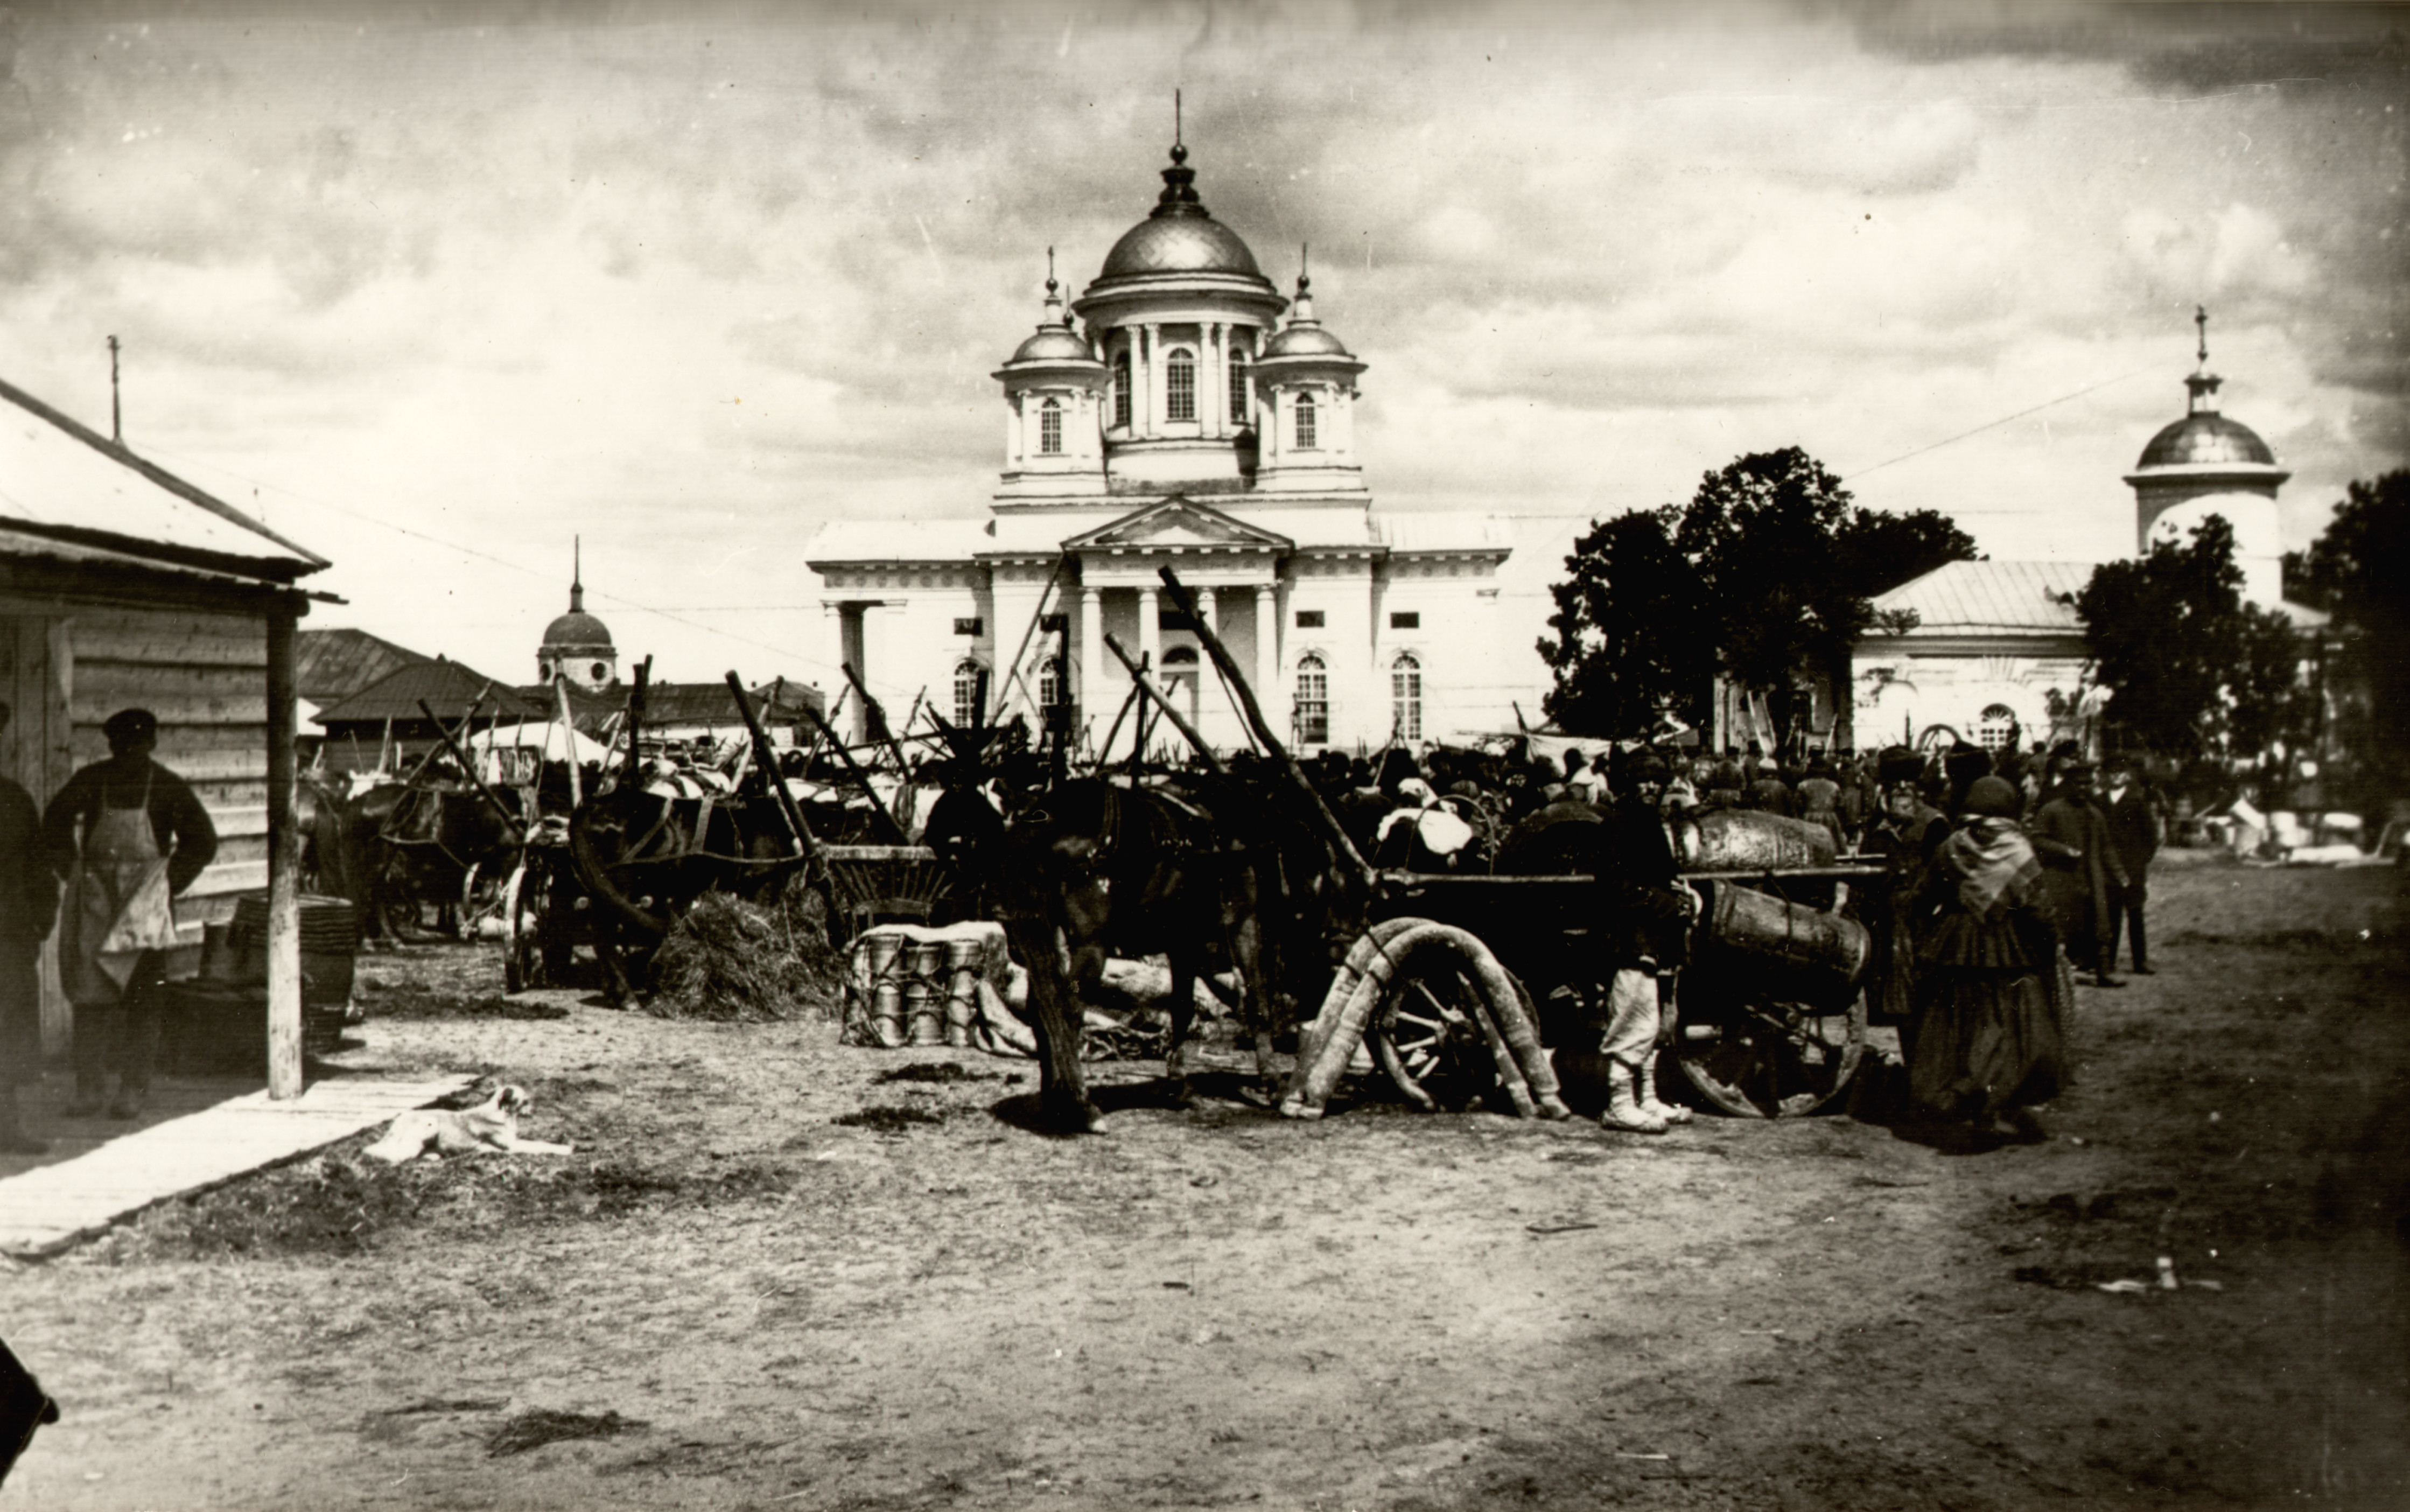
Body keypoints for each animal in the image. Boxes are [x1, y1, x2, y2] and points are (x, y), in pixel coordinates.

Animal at [356, 1080, 573, 1167]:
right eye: (526, 1101)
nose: (534, 1110)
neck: (502, 1113)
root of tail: (396, 1123)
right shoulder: (513, 1146)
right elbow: (542, 1145)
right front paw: (567, 1148)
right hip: (429, 1124)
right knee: (390, 1156)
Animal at [930, 767, 1359, 1138]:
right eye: (1331, 864)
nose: (1340, 939)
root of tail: (1041, 820)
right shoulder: (1244, 922)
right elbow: (1259, 1004)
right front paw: (1271, 1084)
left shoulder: (1183, 939)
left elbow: (1183, 1007)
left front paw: (1178, 1085)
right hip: (1092, 944)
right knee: (1067, 1008)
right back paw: (1082, 1105)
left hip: (1040, 939)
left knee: (1043, 1007)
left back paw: (1057, 1099)